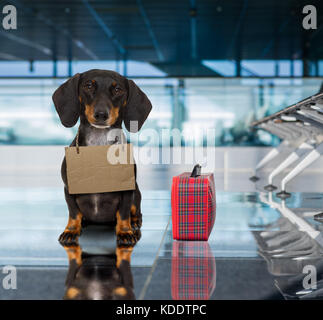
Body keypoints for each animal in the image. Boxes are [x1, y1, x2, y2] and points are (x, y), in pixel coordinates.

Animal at [52, 69, 153, 246]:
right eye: (88, 85)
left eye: (118, 89)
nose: (101, 114)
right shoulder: (69, 188)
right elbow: (74, 212)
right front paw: (71, 230)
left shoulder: (127, 191)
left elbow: (123, 213)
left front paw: (125, 232)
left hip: (136, 192)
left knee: (136, 211)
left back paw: (134, 223)